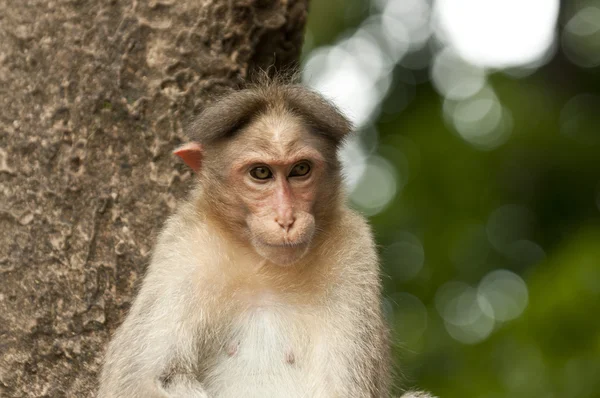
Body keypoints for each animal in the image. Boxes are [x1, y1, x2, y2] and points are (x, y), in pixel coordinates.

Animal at [99, 81, 436, 398]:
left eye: (300, 170)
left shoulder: (354, 247)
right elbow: (143, 379)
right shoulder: (184, 244)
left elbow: (344, 387)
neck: (264, 267)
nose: (286, 218)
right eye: (261, 173)